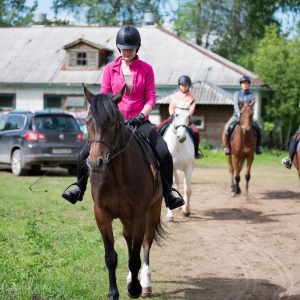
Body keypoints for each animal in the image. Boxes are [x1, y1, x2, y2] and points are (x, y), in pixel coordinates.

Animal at [82, 85, 164, 300]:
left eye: (112, 122)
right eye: (87, 122)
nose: (95, 163)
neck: (117, 173)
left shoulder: (139, 216)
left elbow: (136, 257)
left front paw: (135, 288)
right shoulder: (101, 214)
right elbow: (111, 257)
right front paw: (113, 293)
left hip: (153, 209)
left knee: (145, 243)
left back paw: (145, 282)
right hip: (126, 218)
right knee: (128, 239)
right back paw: (130, 278)